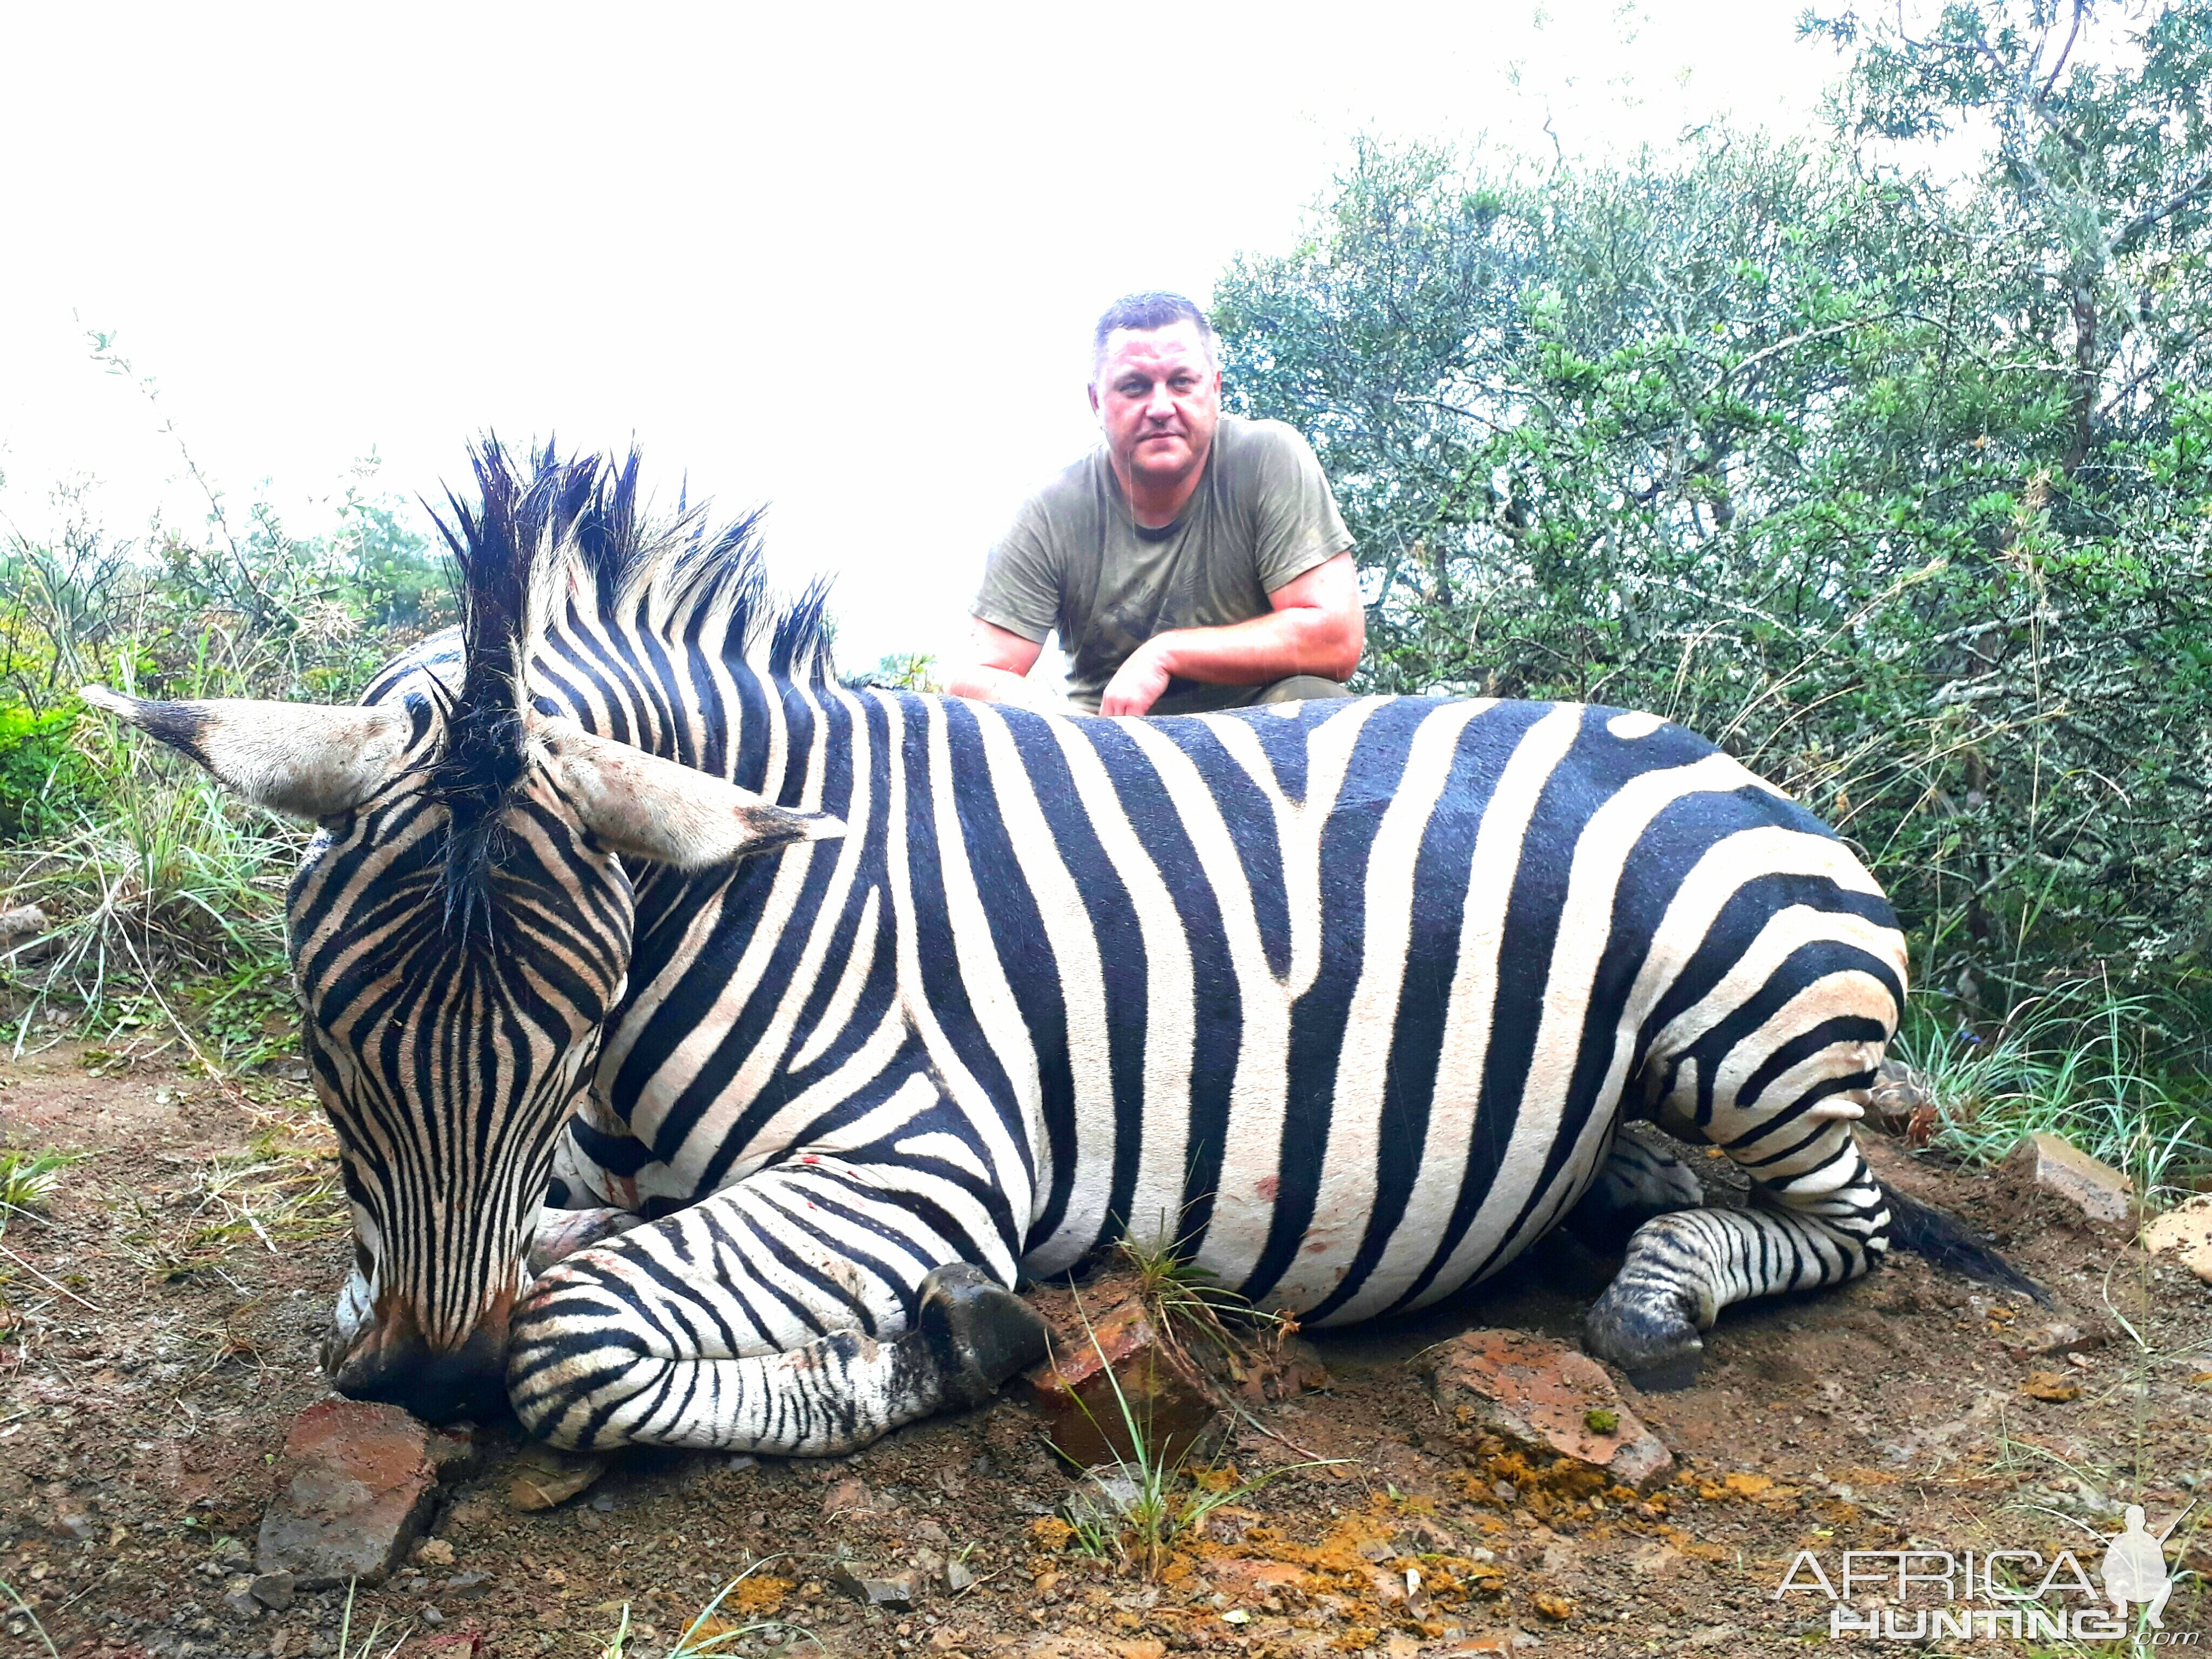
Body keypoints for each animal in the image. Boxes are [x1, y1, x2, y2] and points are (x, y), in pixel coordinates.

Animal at [82, 442, 2026, 1451]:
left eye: (565, 1040)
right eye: (322, 1045)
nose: (423, 1389)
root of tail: (1712, 752)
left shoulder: (924, 1162)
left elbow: (578, 1341)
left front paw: (950, 1346)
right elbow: (451, 1268)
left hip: (1746, 1024)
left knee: (1847, 1225)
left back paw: (1658, 1279)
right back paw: (1618, 1187)